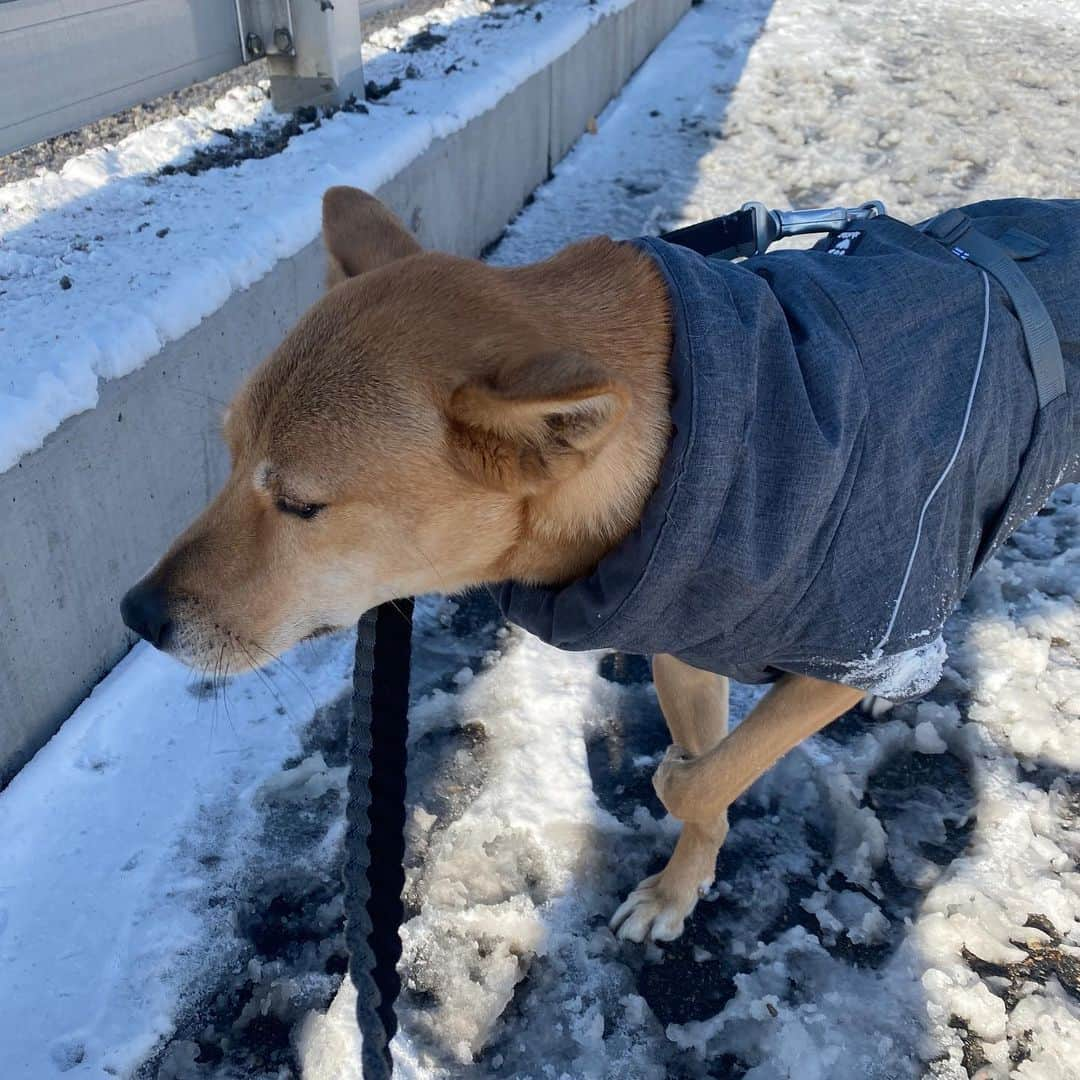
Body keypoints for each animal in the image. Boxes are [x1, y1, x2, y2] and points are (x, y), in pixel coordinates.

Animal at [118, 187, 859, 946]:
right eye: (230, 457)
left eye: (301, 505)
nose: (137, 615)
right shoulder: (684, 650)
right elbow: (706, 779)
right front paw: (681, 885)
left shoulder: (854, 662)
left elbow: (702, 779)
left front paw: (679, 823)